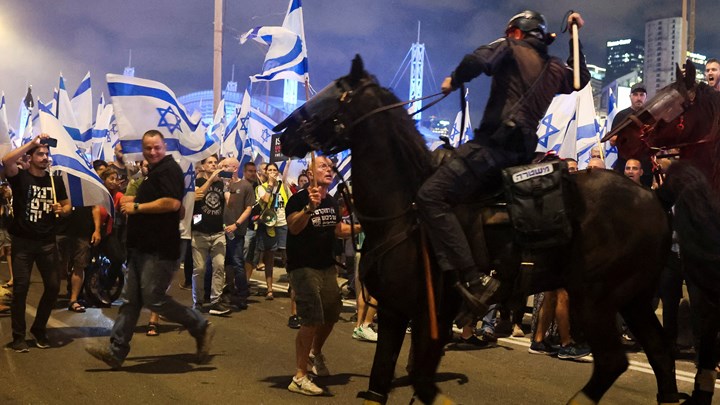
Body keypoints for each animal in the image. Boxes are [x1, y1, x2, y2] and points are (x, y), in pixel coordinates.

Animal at [278, 56, 676, 404]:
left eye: (333, 93)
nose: (281, 134)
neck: (406, 209)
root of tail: (653, 198)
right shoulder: (395, 312)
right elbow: (380, 385)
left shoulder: (431, 317)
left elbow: (420, 380)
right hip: (632, 299)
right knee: (658, 352)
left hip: (596, 298)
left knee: (613, 361)